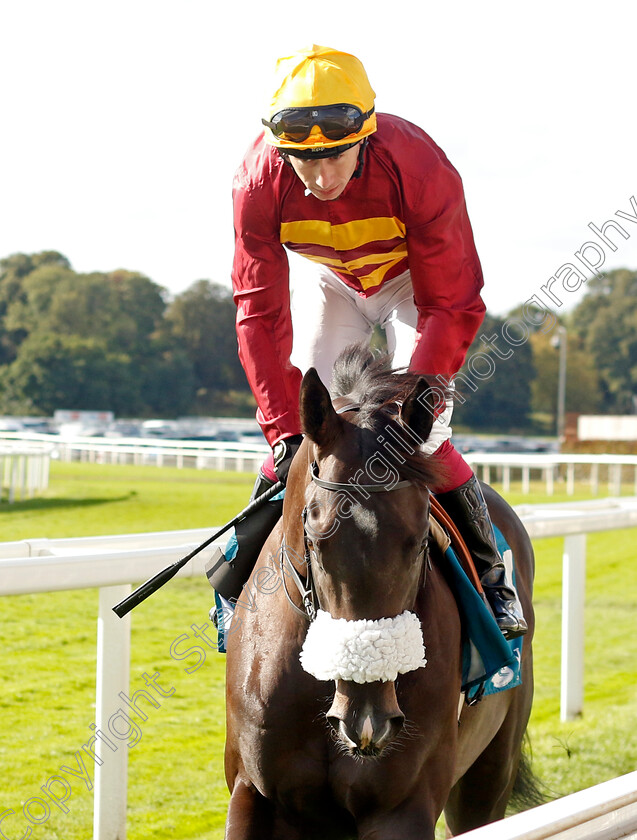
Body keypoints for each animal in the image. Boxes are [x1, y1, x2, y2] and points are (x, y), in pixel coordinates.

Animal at [222, 350, 532, 840]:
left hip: (489, 774)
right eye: (316, 536)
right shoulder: (252, 792)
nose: (366, 719)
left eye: (421, 539)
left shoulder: (402, 804)